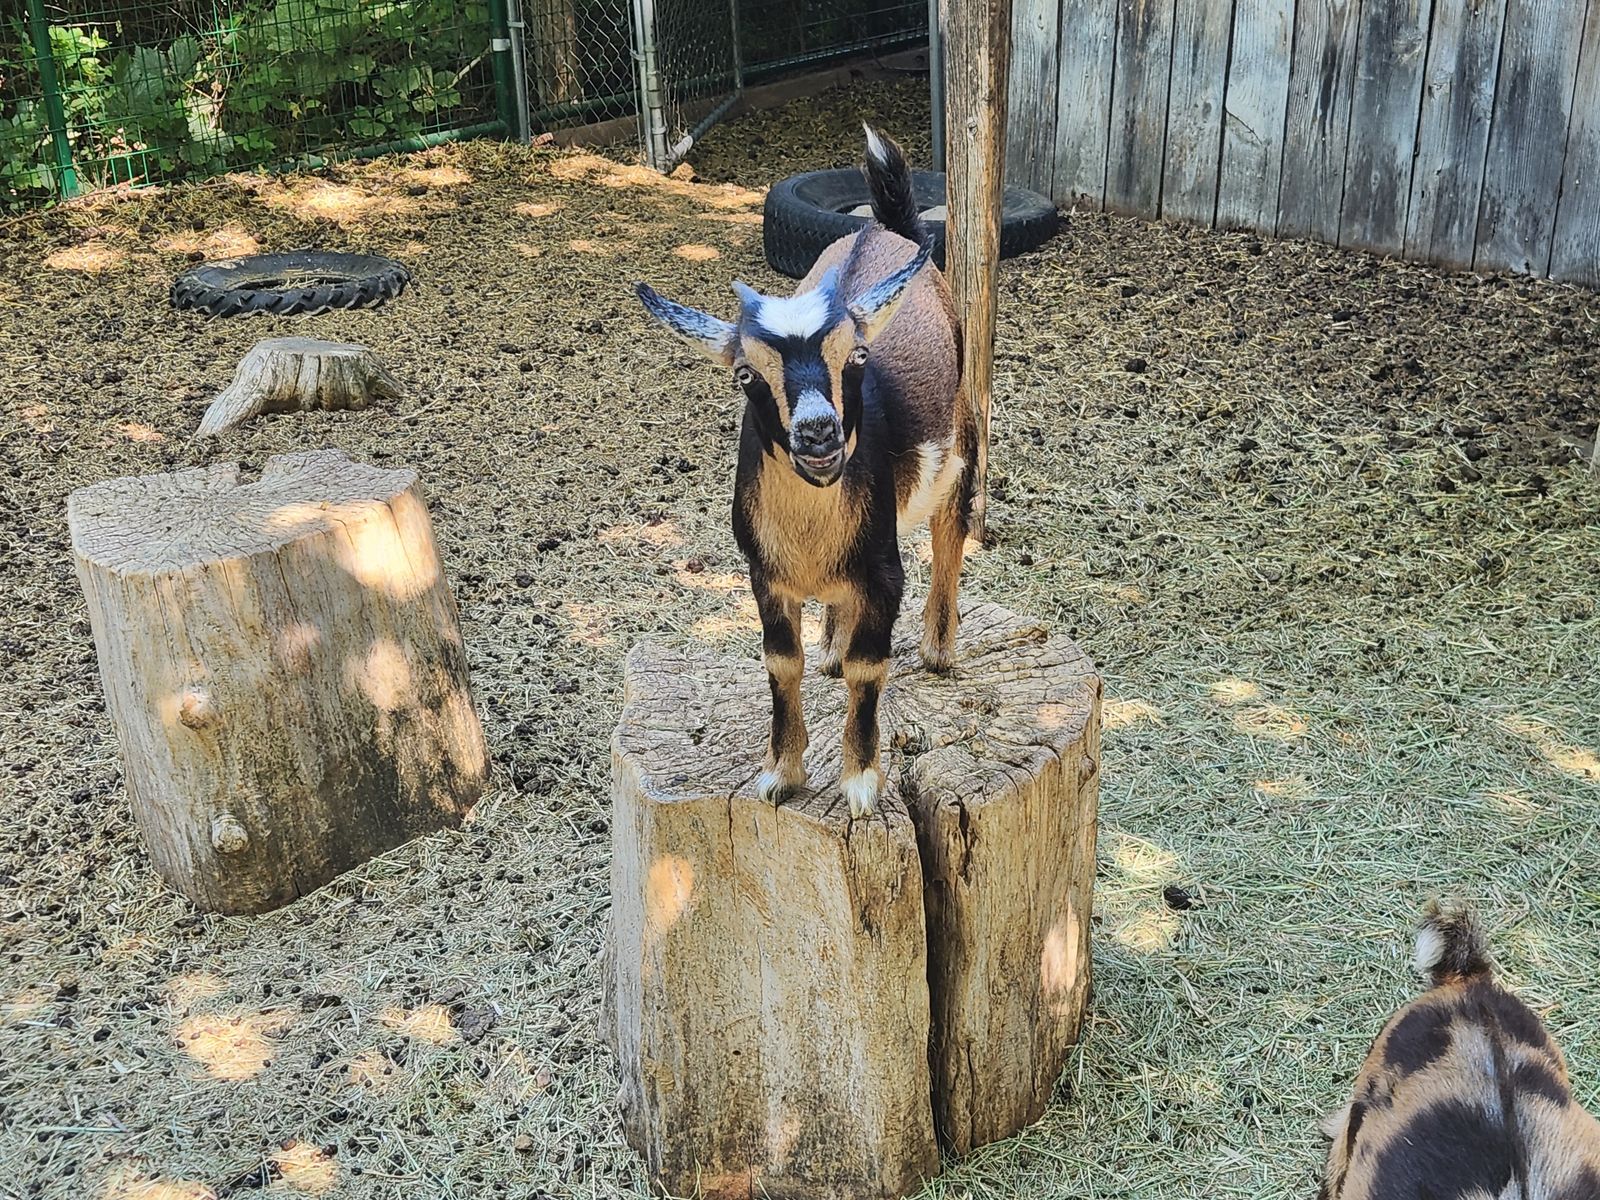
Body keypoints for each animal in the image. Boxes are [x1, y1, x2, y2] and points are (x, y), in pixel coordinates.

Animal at [635, 127, 971, 817]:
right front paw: (780, 773)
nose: (818, 433)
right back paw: (831, 650)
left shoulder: (883, 570)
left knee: (954, 523)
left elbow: (872, 666)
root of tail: (886, 231)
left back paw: (937, 649)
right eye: (746, 374)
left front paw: (862, 783)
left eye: (858, 356)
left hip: (965, 423)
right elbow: (780, 662)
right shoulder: (764, 576)